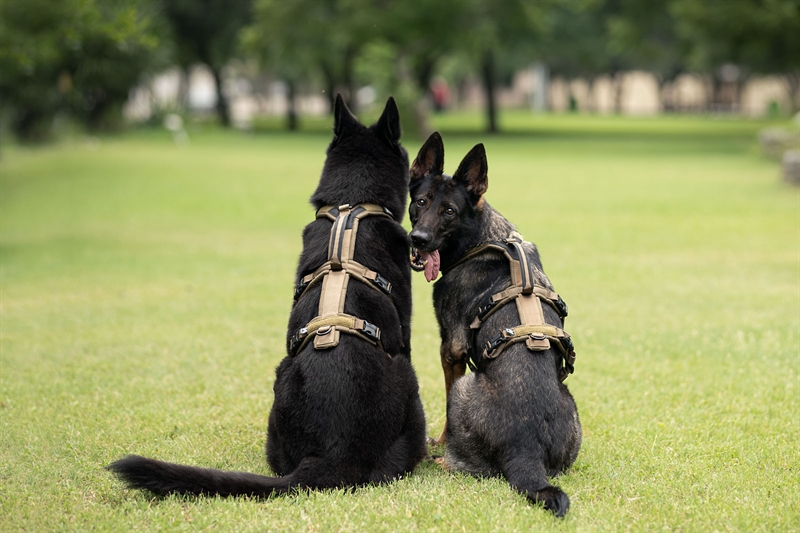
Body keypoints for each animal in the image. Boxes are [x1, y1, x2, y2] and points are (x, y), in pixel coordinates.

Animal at [410, 132, 580, 516]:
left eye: (449, 211)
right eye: (420, 202)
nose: (418, 239)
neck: (480, 236)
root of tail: (525, 446)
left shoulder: (451, 349)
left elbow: (445, 415)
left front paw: (441, 441)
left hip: (463, 390)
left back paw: (436, 458)